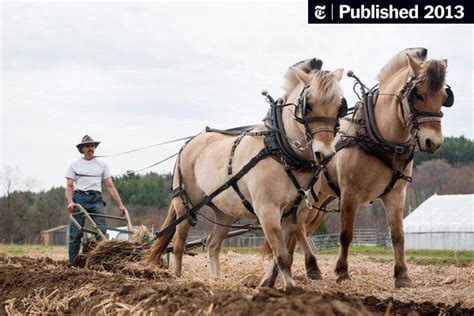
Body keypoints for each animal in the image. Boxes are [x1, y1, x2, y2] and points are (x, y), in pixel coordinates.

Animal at [148, 60, 344, 290]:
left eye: (339, 107)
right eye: (309, 105)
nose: (325, 154)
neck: (281, 150)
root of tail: (189, 142)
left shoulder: (297, 214)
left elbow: (282, 255)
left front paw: (269, 283)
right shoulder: (267, 210)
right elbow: (282, 256)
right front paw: (290, 288)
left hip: (225, 211)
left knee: (213, 245)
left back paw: (217, 280)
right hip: (185, 205)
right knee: (179, 244)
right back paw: (179, 278)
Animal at [262, 47, 454, 288]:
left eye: (445, 98)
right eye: (418, 94)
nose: (433, 142)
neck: (379, 138)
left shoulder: (396, 194)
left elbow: (398, 235)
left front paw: (402, 275)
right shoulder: (350, 194)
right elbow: (346, 234)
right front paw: (342, 272)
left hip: (318, 196)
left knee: (295, 229)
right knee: (298, 228)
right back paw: (307, 267)